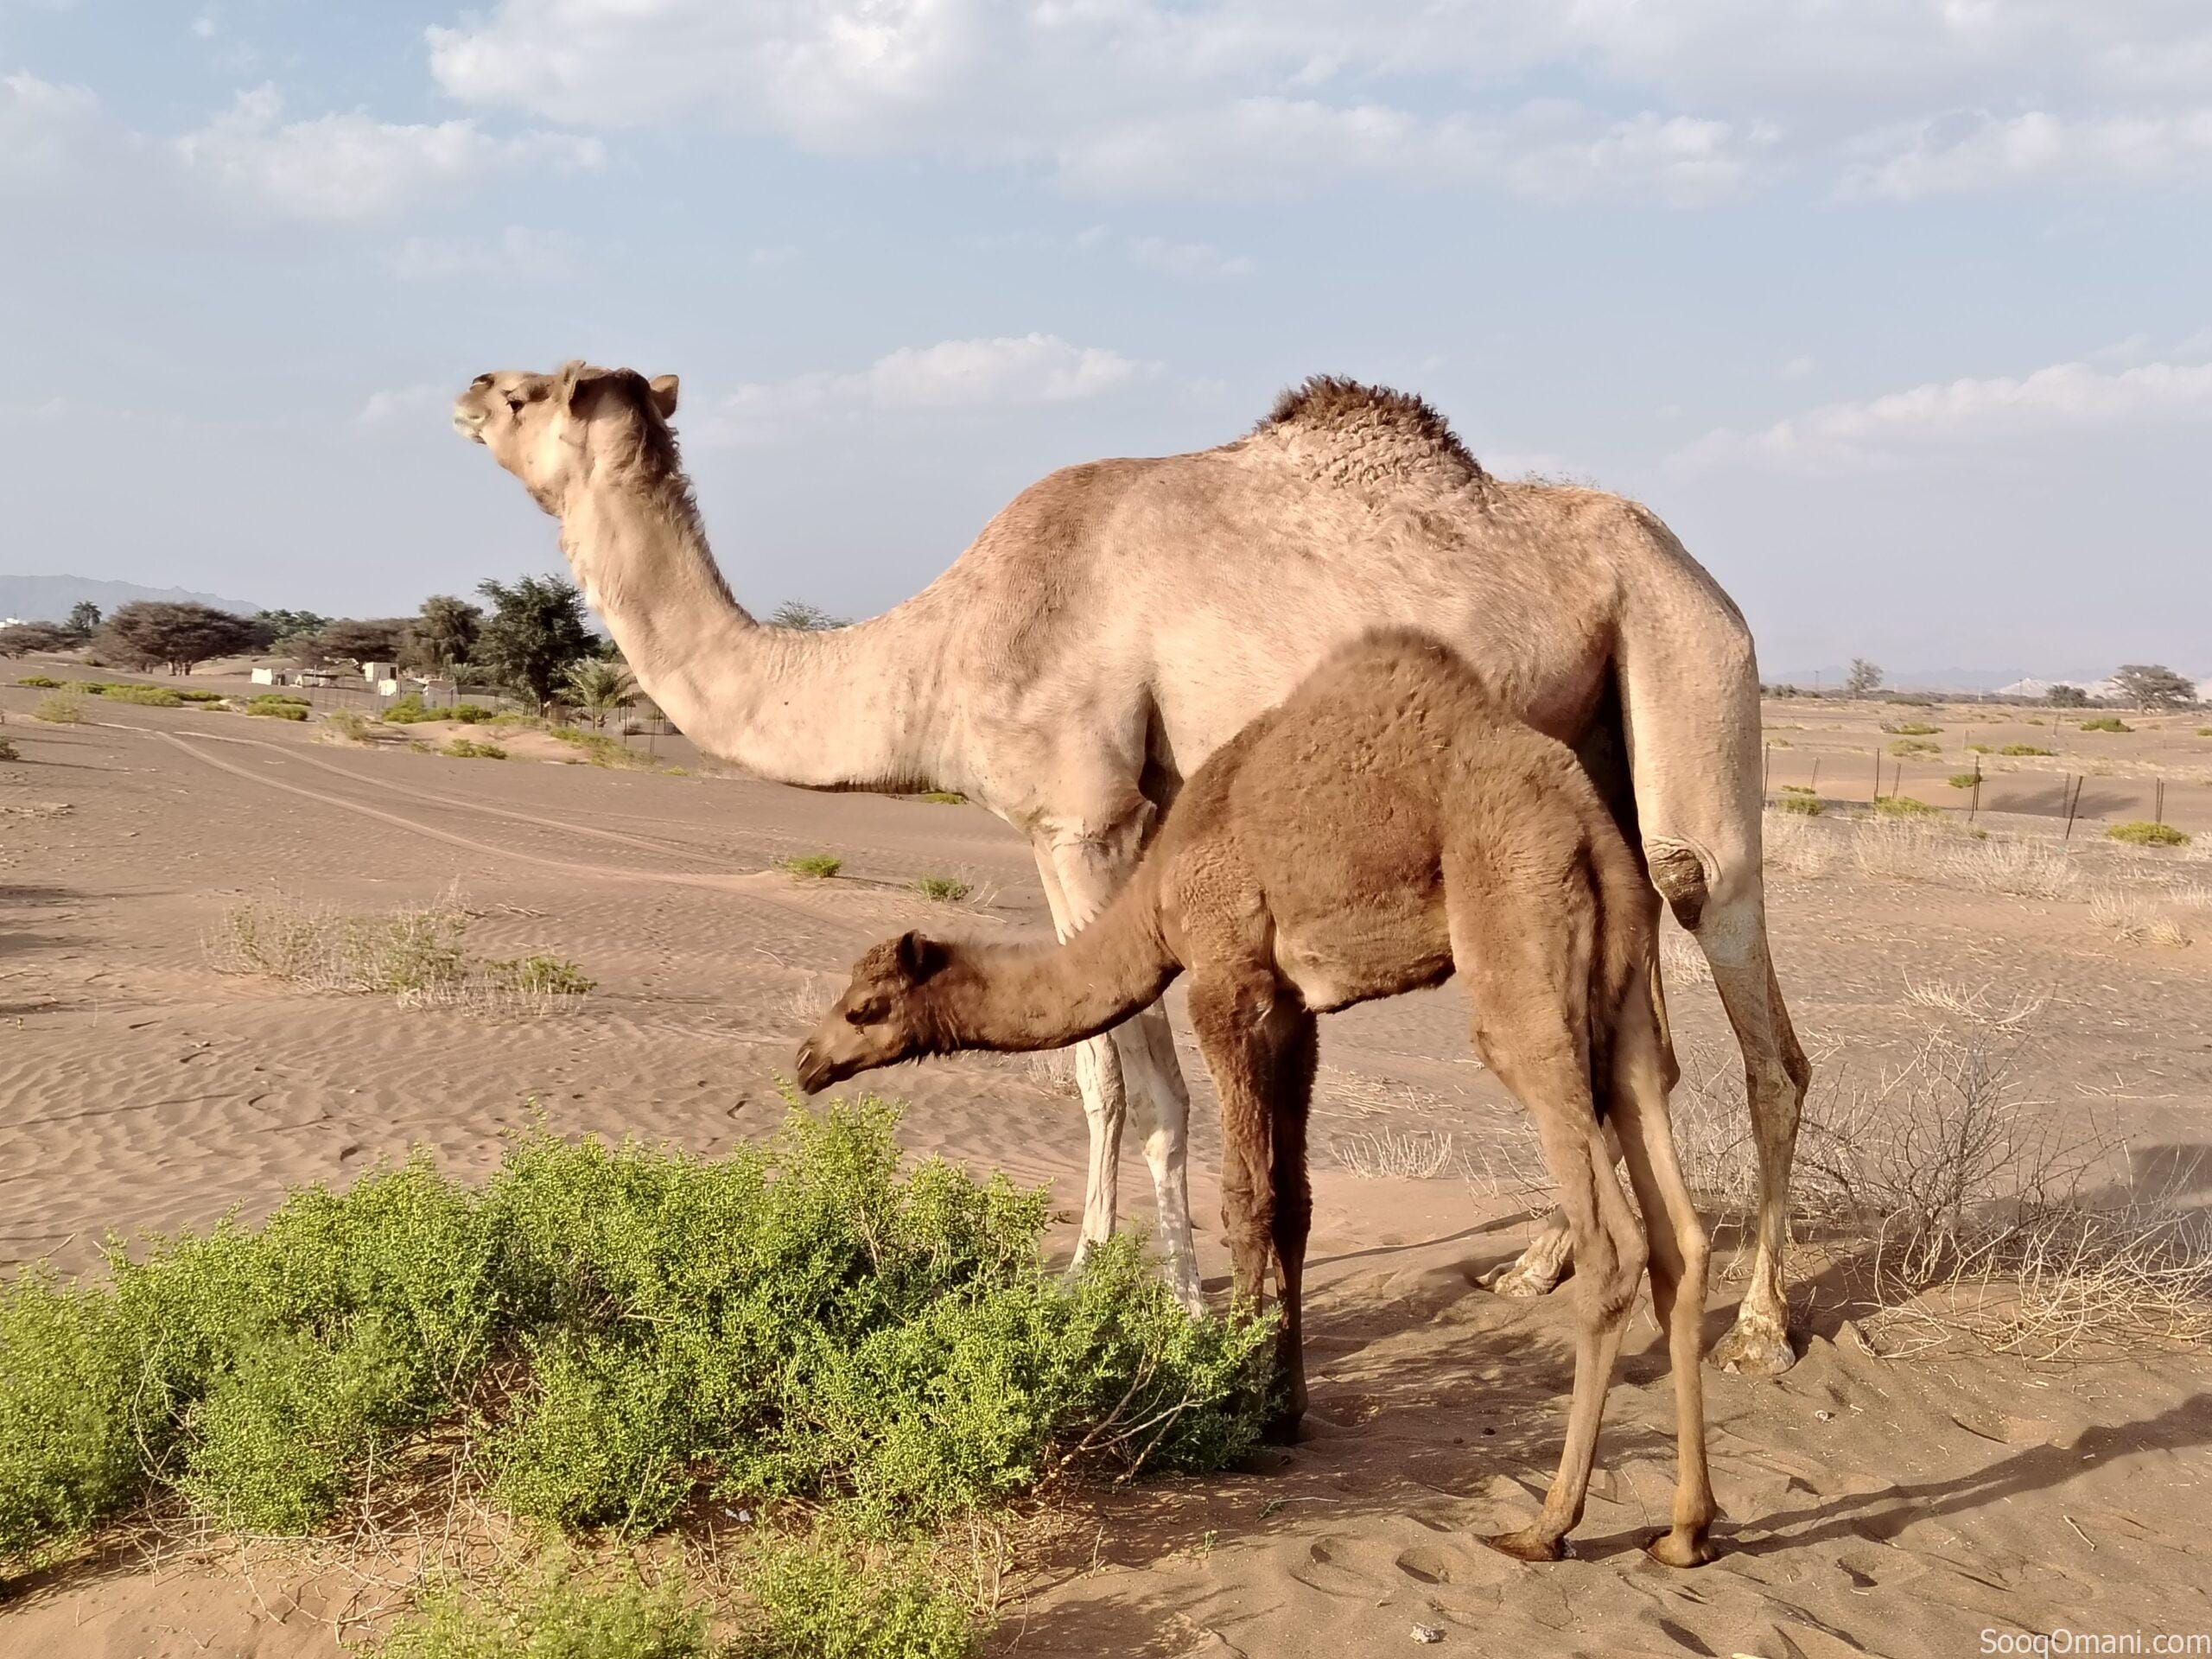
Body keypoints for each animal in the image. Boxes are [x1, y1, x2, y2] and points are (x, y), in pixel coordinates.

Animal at [452, 361, 1808, 1375]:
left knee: (1745, 989)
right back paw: (1538, 1265)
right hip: (1582, 754)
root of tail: (1701, 576)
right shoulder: (1077, 825)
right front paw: (1097, 1281)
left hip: (1690, 674)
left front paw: (1169, 1304)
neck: (934, 648)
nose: (462, 390)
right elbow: (1096, 1067)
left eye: (530, 392)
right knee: (1636, 1041)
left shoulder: (1087, 816)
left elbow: (1138, 1078)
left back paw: (1758, 1327)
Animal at [796, 632, 1718, 1567]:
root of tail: (1592, 830)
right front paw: (1284, 1405)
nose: (807, 1063)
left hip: (1517, 942)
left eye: (864, 1008)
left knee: (1611, 1237)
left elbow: (1245, 1198)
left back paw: (1548, 1523)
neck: (1156, 894)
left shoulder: (1224, 977)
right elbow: (1295, 1201)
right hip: (1624, 989)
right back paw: (1686, 1529)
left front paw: (1230, 1406)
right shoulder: (1295, 1009)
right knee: (1677, 1230)